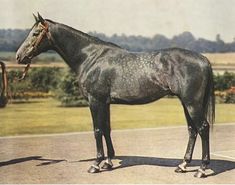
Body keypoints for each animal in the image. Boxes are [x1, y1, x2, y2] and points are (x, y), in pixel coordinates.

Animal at [16, 13, 215, 178]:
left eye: (35, 33)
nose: (19, 57)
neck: (90, 57)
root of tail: (203, 59)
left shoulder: (95, 101)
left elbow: (97, 130)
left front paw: (96, 164)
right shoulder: (105, 103)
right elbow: (106, 129)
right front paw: (108, 162)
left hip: (192, 103)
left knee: (203, 128)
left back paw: (202, 169)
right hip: (186, 102)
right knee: (192, 130)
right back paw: (183, 165)